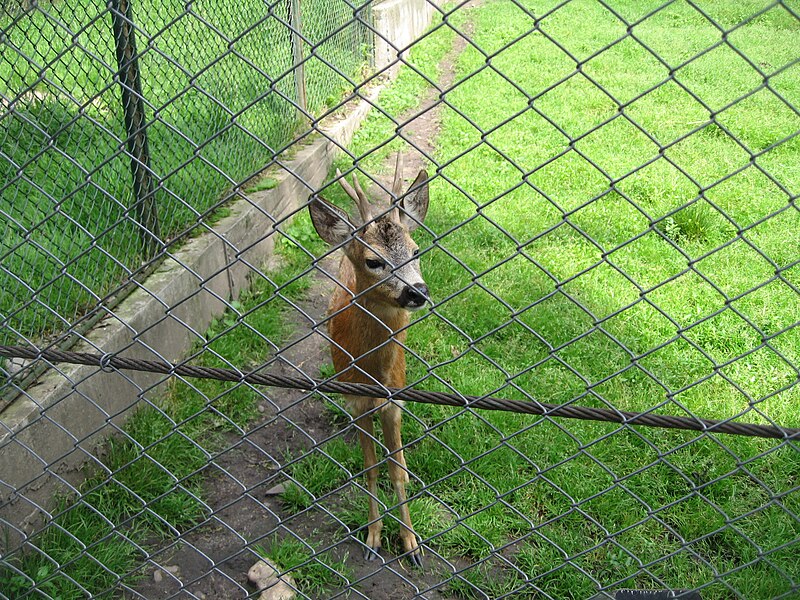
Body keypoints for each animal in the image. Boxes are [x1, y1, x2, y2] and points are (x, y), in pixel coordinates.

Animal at [308, 156, 432, 568]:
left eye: (415, 250)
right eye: (373, 261)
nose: (417, 292)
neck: (372, 373)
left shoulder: (394, 398)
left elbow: (399, 472)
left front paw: (411, 544)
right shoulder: (356, 399)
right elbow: (370, 468)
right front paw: (373, 537)